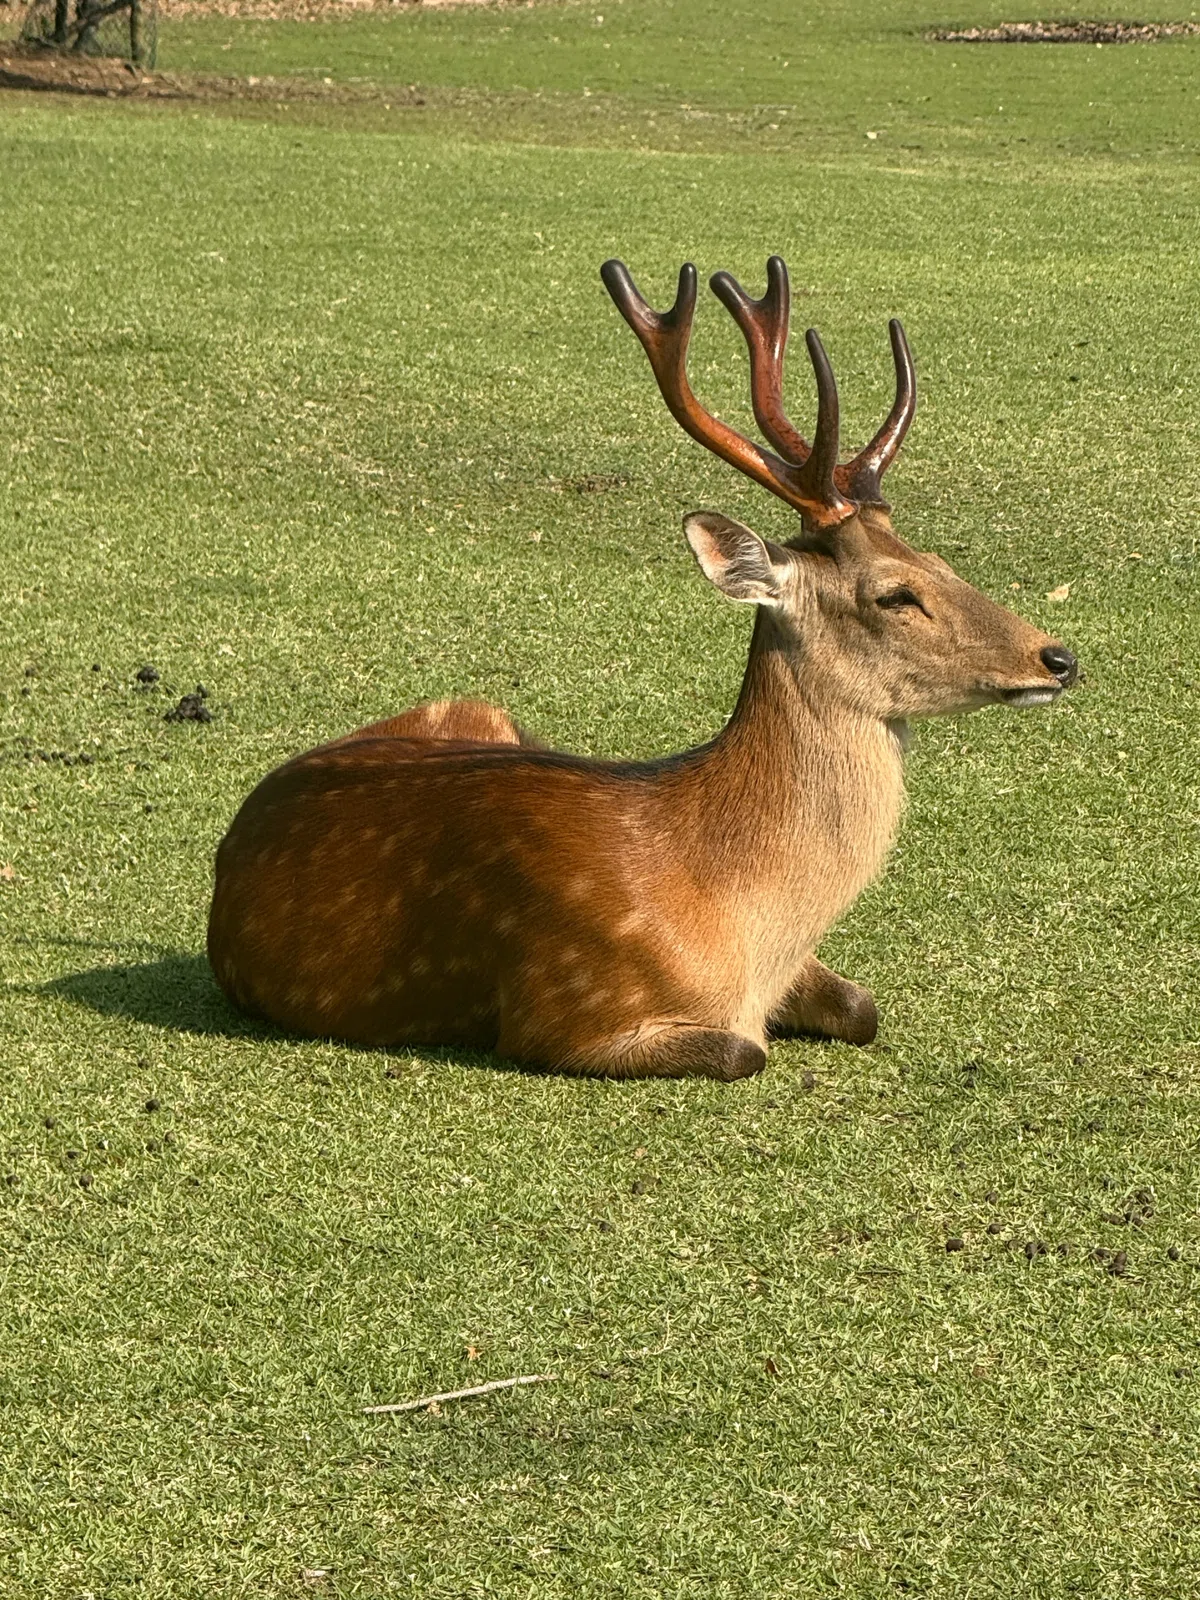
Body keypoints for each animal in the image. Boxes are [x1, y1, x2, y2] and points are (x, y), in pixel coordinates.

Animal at [207, 255, 1077, 1081]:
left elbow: (864, 1009)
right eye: (896, 593)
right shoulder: (563, 1012)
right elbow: (744, 1052)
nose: (1058, 657)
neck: (743, 924)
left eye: (941, 560)